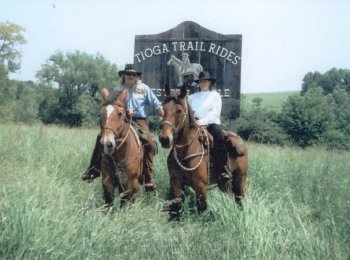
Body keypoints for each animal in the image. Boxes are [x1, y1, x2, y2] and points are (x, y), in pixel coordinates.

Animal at [157, 84, 247, 218]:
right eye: (163, 108)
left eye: (179, 110)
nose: (164, 139)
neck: (185, 152)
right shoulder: (175, 182)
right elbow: (176, 207)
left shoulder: (200, 186)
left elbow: (202, 210)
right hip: (223, 183)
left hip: (241, 179)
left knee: (240, 199)